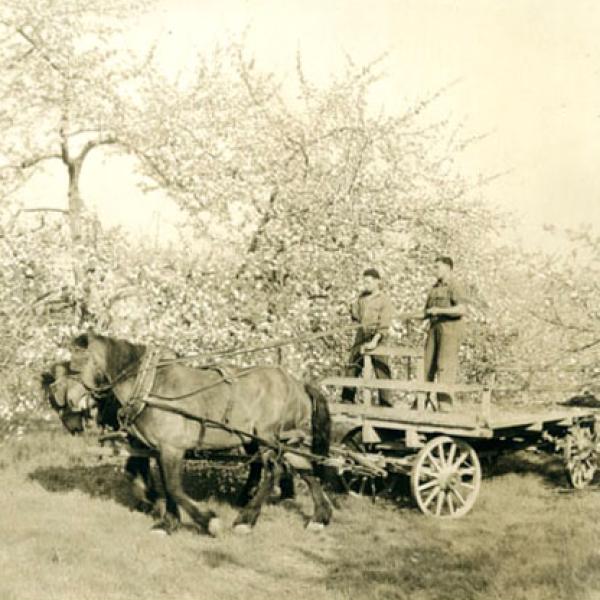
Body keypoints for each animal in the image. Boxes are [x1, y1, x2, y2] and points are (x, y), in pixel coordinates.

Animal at [70, 332, 332, 536]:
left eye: (78, 363)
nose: (71, 400)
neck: (151, 386)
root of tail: (297, 384)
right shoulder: (160, 449)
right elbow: (167, 485)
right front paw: (168, 523)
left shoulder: (172, 448)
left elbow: (174, 487)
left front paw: (209, 521)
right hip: (286, 440)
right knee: (305, 468)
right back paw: (320, 517)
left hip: (268, 438)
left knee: (274, 470)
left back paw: (246, 520)